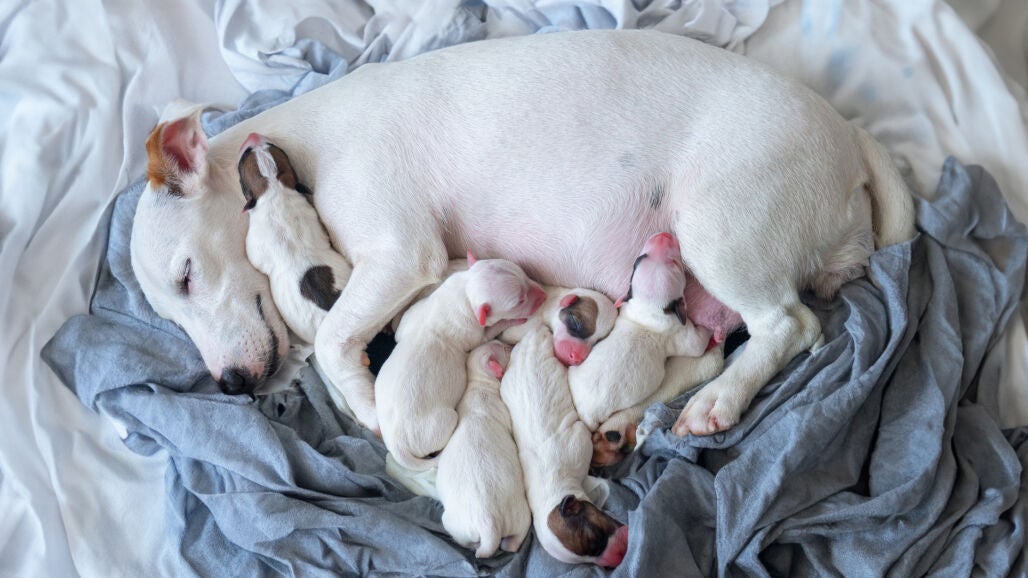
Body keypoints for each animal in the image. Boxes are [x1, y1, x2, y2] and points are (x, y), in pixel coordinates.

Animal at [376, 253, 545, 469]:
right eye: (519, 301)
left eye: (524, 273)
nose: (544, 294)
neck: (466, 292)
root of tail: (397, 446)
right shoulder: (473, 331)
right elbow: (489, 333)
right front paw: (511, 321)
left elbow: (402, 326)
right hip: (440, 423)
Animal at [501, 326, 629, 568]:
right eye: (589, 560)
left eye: (595, 537)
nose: (617, 559)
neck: (555, 487)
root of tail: (531, 336)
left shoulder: (580, 439)